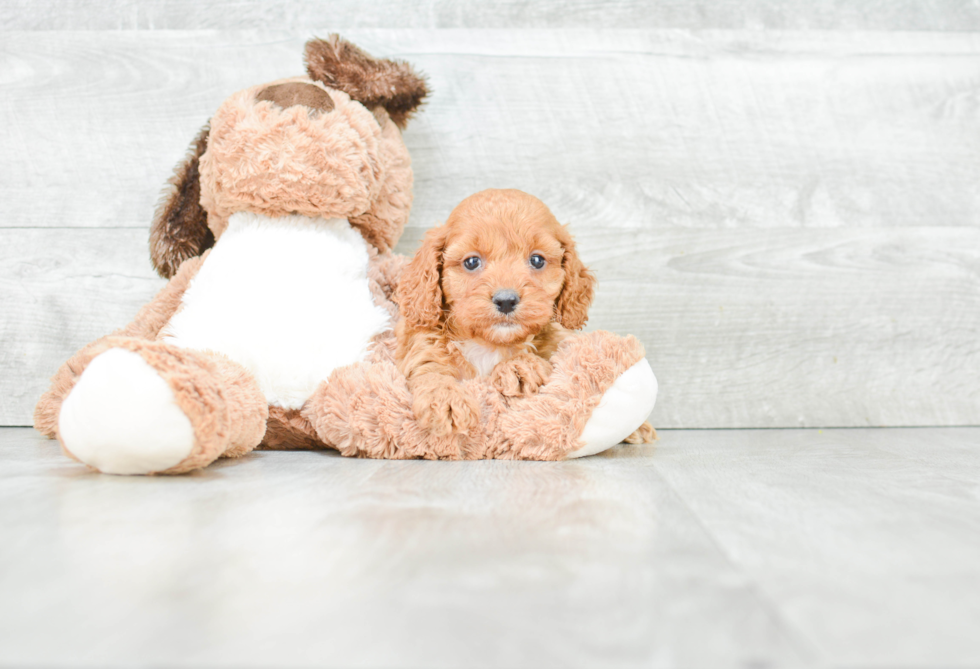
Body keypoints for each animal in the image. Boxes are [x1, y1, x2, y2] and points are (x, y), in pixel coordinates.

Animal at [392, 189, 592, 438]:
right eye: (471, 262)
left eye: (537, 260)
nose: (506, 300)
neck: (488, 344)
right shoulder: (423, 346)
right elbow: (430, 372)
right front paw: (446, 399)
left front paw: (519, 366)